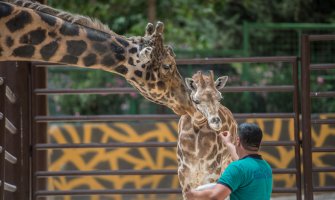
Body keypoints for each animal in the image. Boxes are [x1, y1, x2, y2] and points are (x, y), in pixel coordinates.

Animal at [178, 71, 239, 199]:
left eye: (220, 98)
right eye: (196, 101)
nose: (215, 122)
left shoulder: (212, 170)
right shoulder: (184, 172)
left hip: (227, 162)